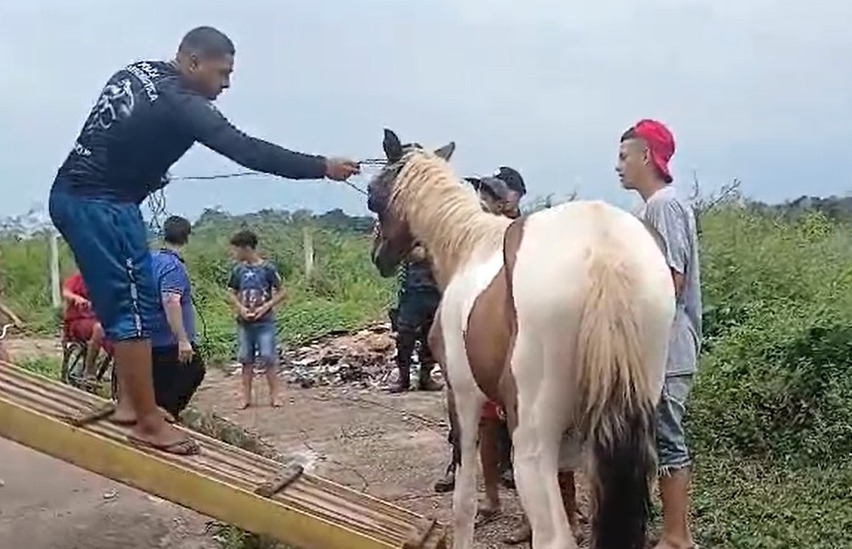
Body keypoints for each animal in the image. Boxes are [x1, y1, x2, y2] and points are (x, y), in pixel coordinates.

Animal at [370, 130, 676, 548]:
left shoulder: (463, 396)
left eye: (374, 195)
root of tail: (603, 251)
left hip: (531, 443)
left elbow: (464, 500)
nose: (379, 257)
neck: (469, 249)